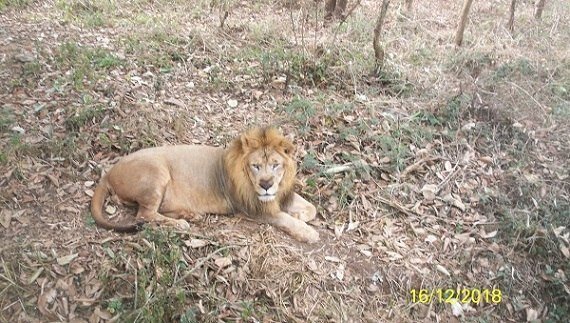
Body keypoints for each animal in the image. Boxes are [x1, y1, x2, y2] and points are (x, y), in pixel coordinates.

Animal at [91, 126, 318, 243]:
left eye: (275, 165)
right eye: (255, 166)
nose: (266, 185)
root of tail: (108, 173)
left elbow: (311, 208)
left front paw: (300, 215)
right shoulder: (253, 208)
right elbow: (284, 219)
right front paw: (308, 232)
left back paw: (190, 215)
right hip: (157, 172)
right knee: (144, 215)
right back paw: (181, 223)